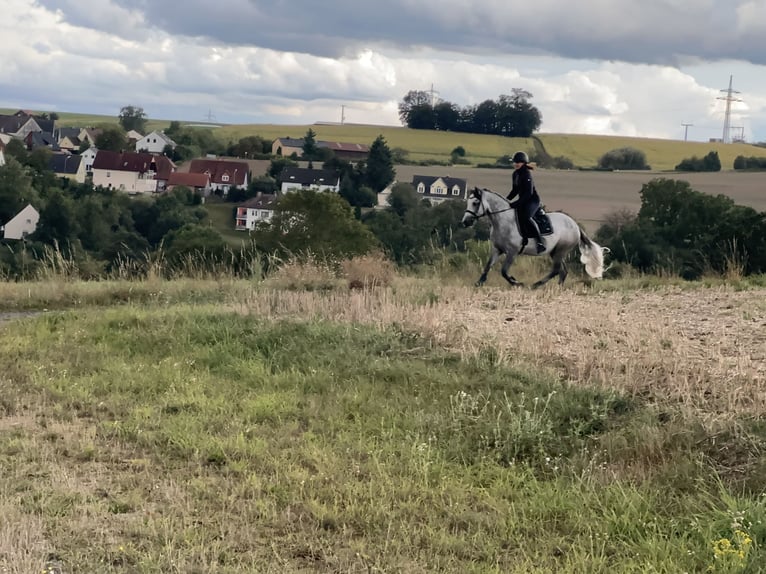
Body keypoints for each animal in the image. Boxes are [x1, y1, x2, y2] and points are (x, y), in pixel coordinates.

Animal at [462, 188, 612, 288]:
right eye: (467, 202)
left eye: (475, 203)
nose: (465, 222)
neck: (503, 220)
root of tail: (575, 225)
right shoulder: (497, 249)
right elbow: (488, 265)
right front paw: (479, 282)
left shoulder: (512, 251)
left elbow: (504, 271)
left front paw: (516, 282)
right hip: (555, 252)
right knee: (563, 271)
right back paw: (558, 288)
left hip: (560, 250)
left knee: (556, 270)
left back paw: (536, 285)